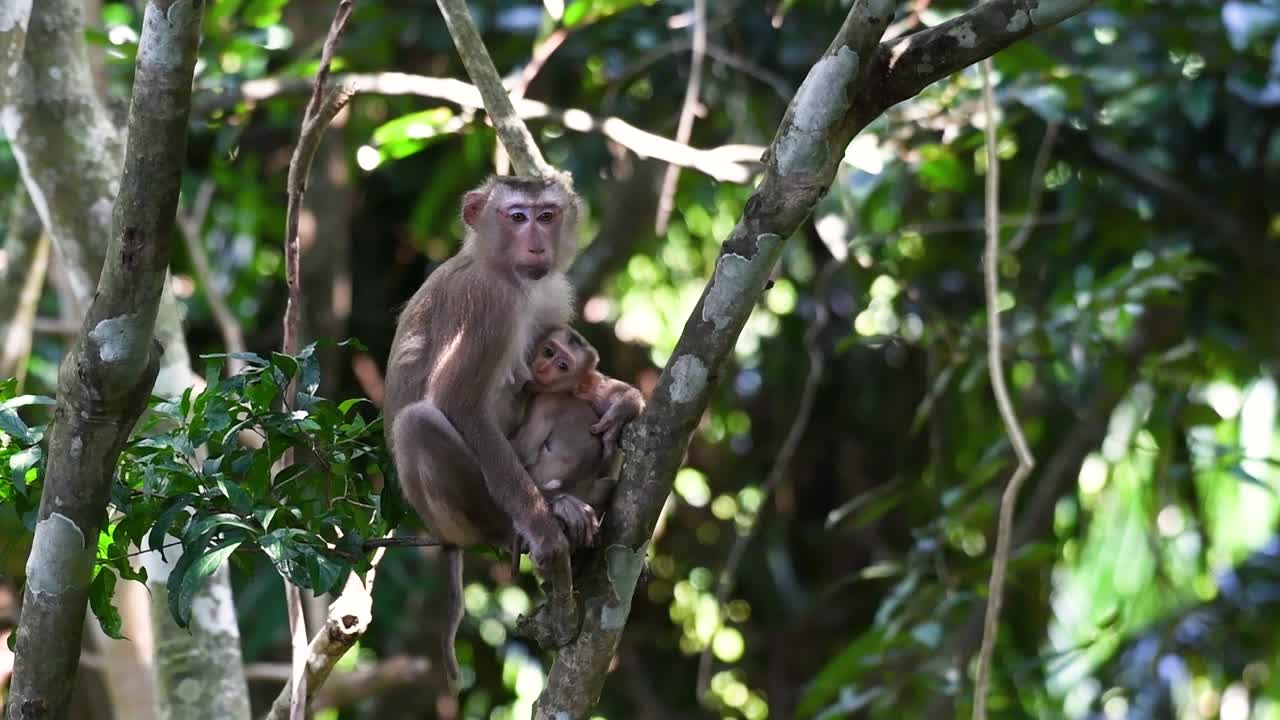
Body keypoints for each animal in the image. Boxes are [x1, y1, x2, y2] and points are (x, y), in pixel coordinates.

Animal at [383, 175, 583, 689]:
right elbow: (458, 404)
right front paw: (542, 530)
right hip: (452, 515)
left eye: (546, 215)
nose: (536, 244)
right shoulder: (488, 301)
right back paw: (510, 526)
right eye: (517, 216)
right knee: (418, 423)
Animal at [510, 326, 646, 550]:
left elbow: (524, 453)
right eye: (548, 352)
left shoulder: (545, 402)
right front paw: (619, 415)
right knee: (609, 486)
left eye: (563, 366)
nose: (543, 367)